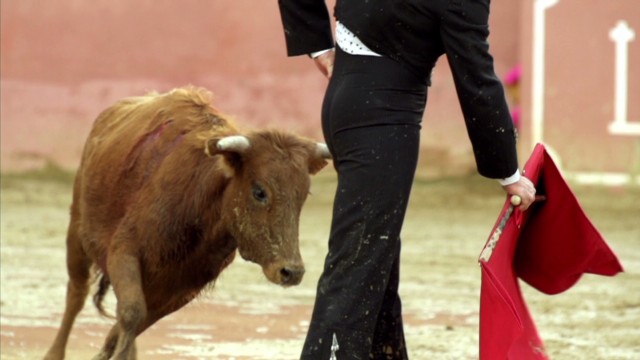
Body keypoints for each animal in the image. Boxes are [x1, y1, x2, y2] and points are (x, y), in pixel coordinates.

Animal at [42, 86, 330, 358]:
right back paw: (54, 353)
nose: (291, 271)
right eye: (259, 192)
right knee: (76, 294)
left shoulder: (184, 286)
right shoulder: (123, 250)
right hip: (77, 233)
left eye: (304, 195)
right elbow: (132, 313)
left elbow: (131, 323)